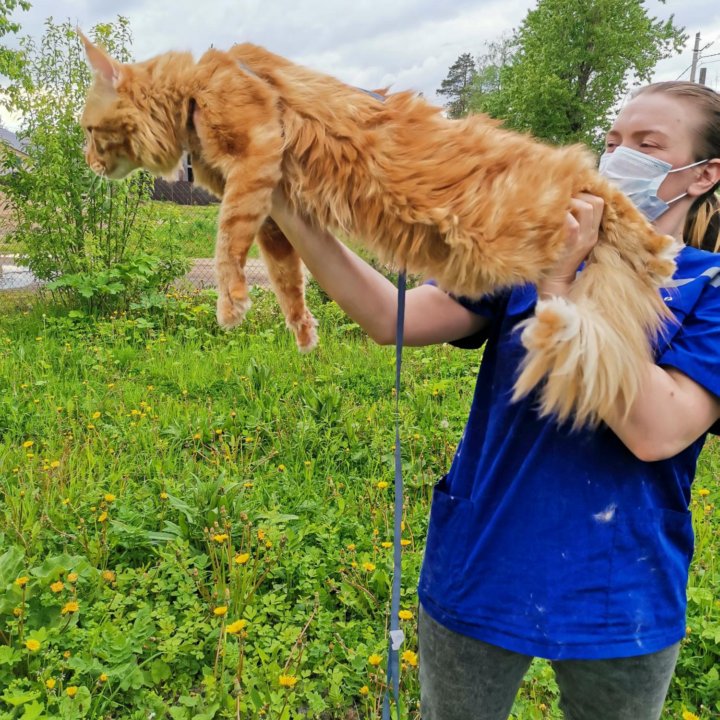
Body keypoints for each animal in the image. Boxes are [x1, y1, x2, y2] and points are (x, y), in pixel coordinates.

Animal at [81, 33, 676, 428]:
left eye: (88, 130)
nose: (86, 160)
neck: (191, 90)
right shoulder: (273, 211)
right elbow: (286, 276)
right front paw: (303, 332)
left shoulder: (254, 155)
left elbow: (228, 240)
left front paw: (230, 304)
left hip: (534, 210)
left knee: (606, 192)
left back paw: (661, 251)